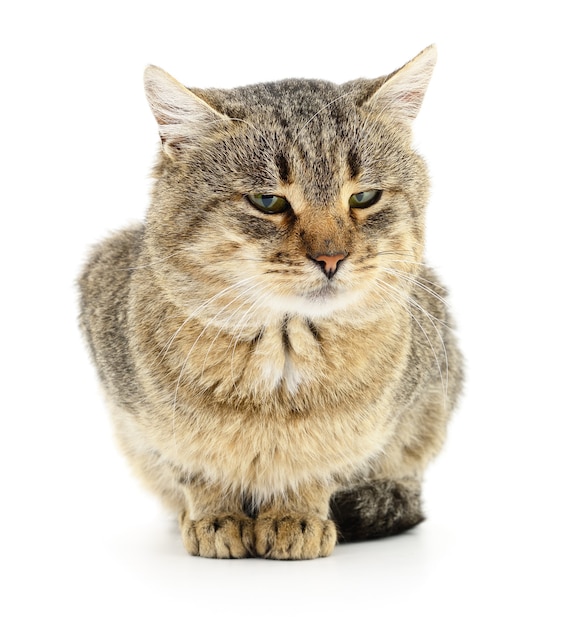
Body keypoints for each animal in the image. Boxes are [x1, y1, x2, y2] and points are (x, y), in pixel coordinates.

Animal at [80, 46, 464, 560]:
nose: (331, 258)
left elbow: (318, 471)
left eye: (364, 197)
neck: (282, 353)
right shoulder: (143, 420)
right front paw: (214, 517)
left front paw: (295, 515)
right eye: (268, 202)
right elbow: (195, 470)